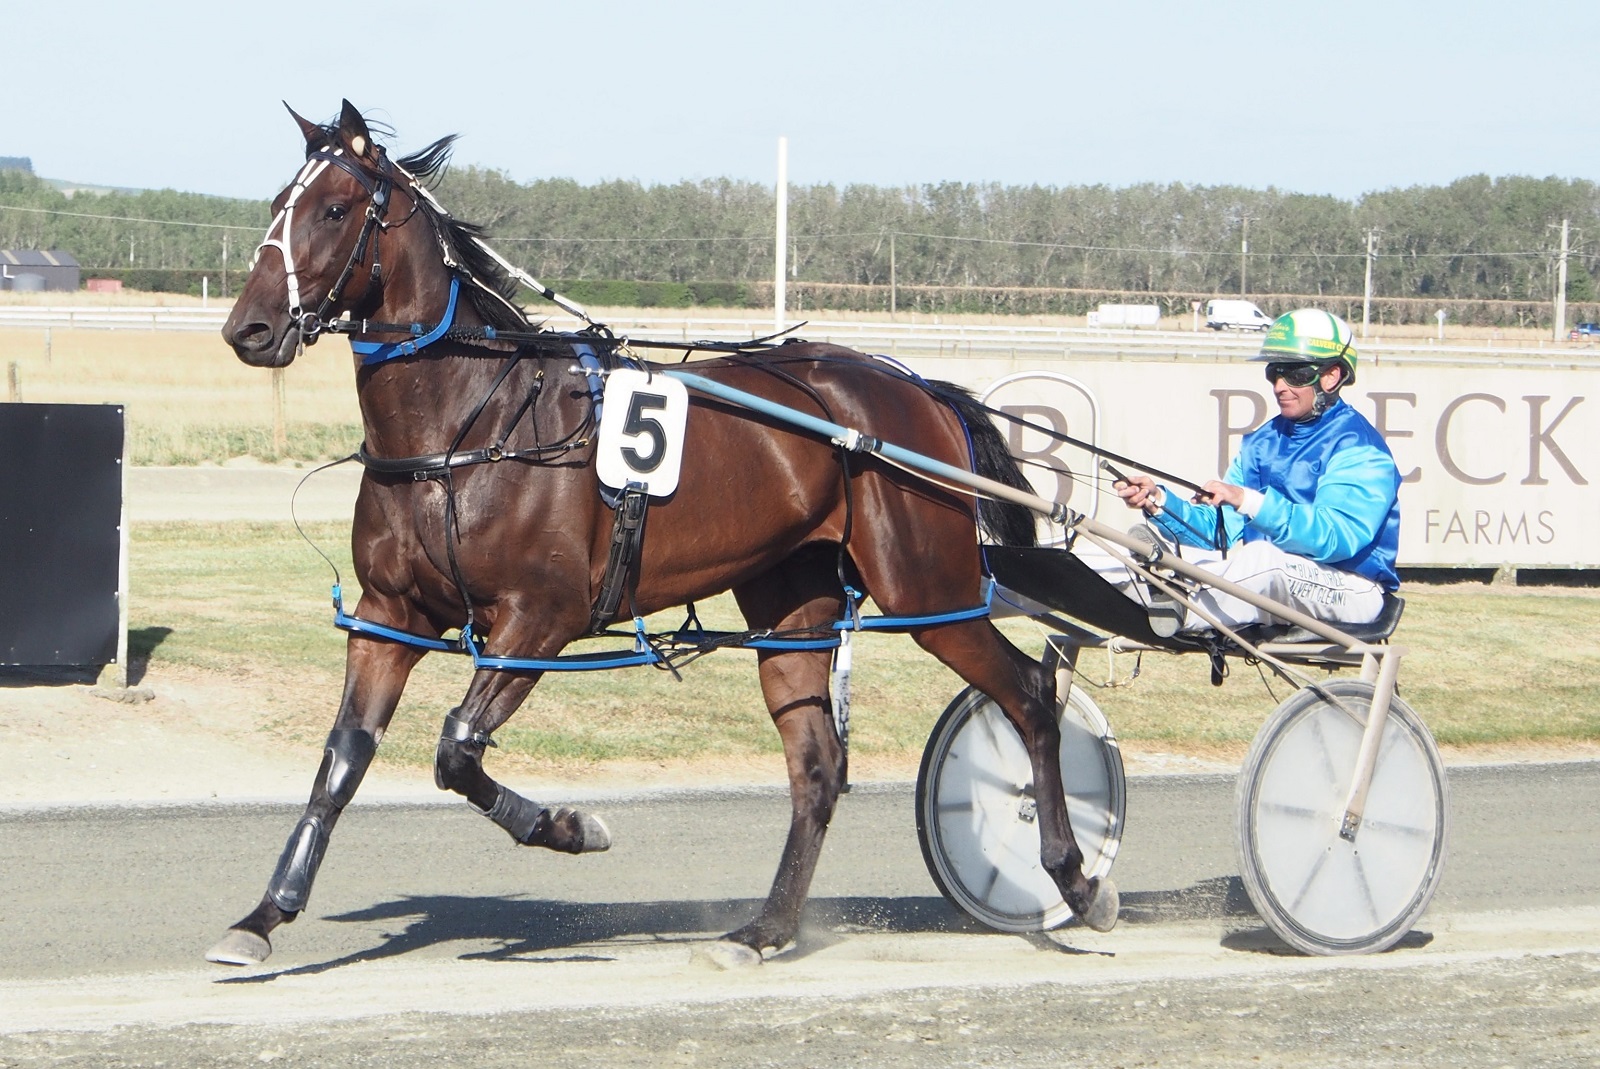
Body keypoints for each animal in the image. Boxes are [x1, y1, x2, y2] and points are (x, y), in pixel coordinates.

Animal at [208, 99, 1117, 967]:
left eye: (333, 208)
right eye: (277, 204)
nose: (247, 329)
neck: (470, 423)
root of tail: (917, 388)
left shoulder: (539, 619)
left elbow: (457, 747)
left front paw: (572, 826)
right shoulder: (389, 614)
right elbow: (342, 758)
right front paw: (262, 916)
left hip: (930, 590)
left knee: (1030, 696)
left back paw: (1077, 879)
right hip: (792, 607)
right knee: (818, 768)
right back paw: (764, 929)